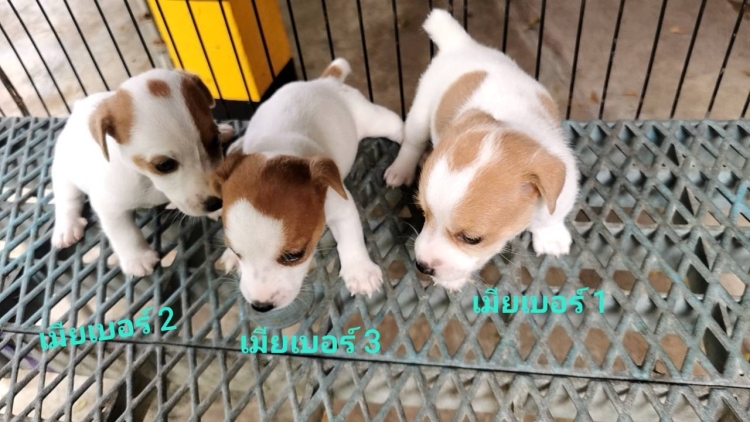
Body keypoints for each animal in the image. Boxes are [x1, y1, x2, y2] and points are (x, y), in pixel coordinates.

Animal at [51, 69, 234, 277]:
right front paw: (137, 258)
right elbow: (125, 233)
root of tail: (79, 107)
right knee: (67, 200)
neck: (148, 180)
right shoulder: (109, 206)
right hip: (64, 174)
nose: (216, 202)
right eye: (164, 165)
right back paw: (67, 227)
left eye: (214, 141)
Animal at [213, 58, 404, 312]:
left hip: (375, 120)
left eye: (295, 255)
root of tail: (324, 81)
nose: (261, 306)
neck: (279, 149)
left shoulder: (341, 206)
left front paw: (360, 271)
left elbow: (350, 238)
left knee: (401, 128)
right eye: (237, 250)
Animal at [384, 10, 579, 291]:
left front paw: (551, 237)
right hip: (420, 111)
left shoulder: (563, 188)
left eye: (471, 239)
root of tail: (462, 44)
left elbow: (552, 216)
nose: (422, 266)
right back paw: (401, 169)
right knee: (411, 142)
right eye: (423, 213)